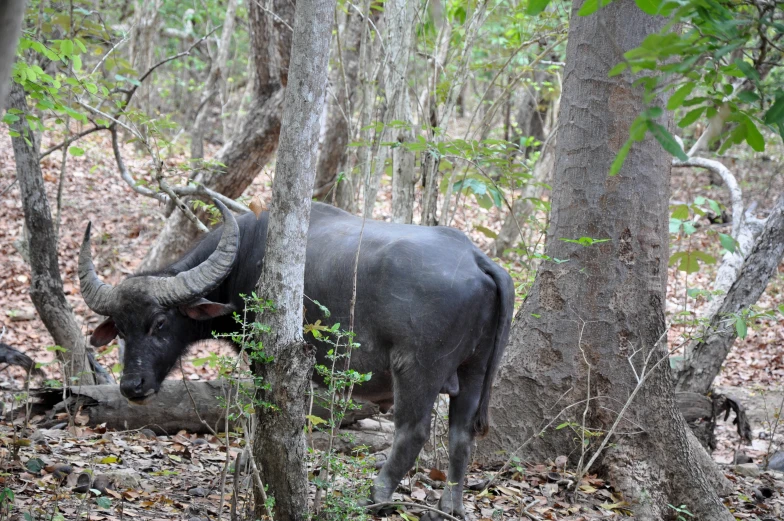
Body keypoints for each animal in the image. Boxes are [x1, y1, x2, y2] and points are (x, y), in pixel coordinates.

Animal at [79, 200, 516, 516]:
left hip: (416, 369)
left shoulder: (264, 358)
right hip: (474, 370)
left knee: (414, 432)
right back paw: (451, 505)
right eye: (120, 328)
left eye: (159, 322)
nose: (131, 386)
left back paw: (374, 498)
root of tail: (479, 260)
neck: (248, 258)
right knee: (461, 435)